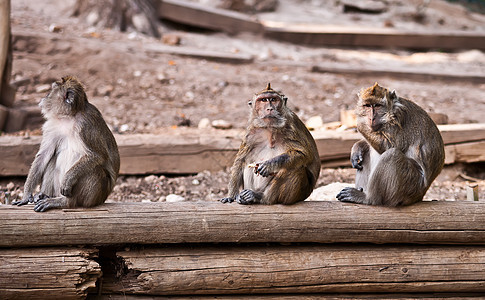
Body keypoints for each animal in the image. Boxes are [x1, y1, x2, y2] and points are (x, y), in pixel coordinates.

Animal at [12, 76, 120, 212]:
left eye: (51, 91)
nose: (44, 97)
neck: (68, 117)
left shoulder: (85, 126)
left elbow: (97, 156)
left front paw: (68, 179)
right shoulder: (52, 126)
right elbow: (43, 156)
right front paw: (26, 195)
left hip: (95, 197)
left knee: (95, 169)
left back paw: (65, 202)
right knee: (52, 159)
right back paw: (45, 195)